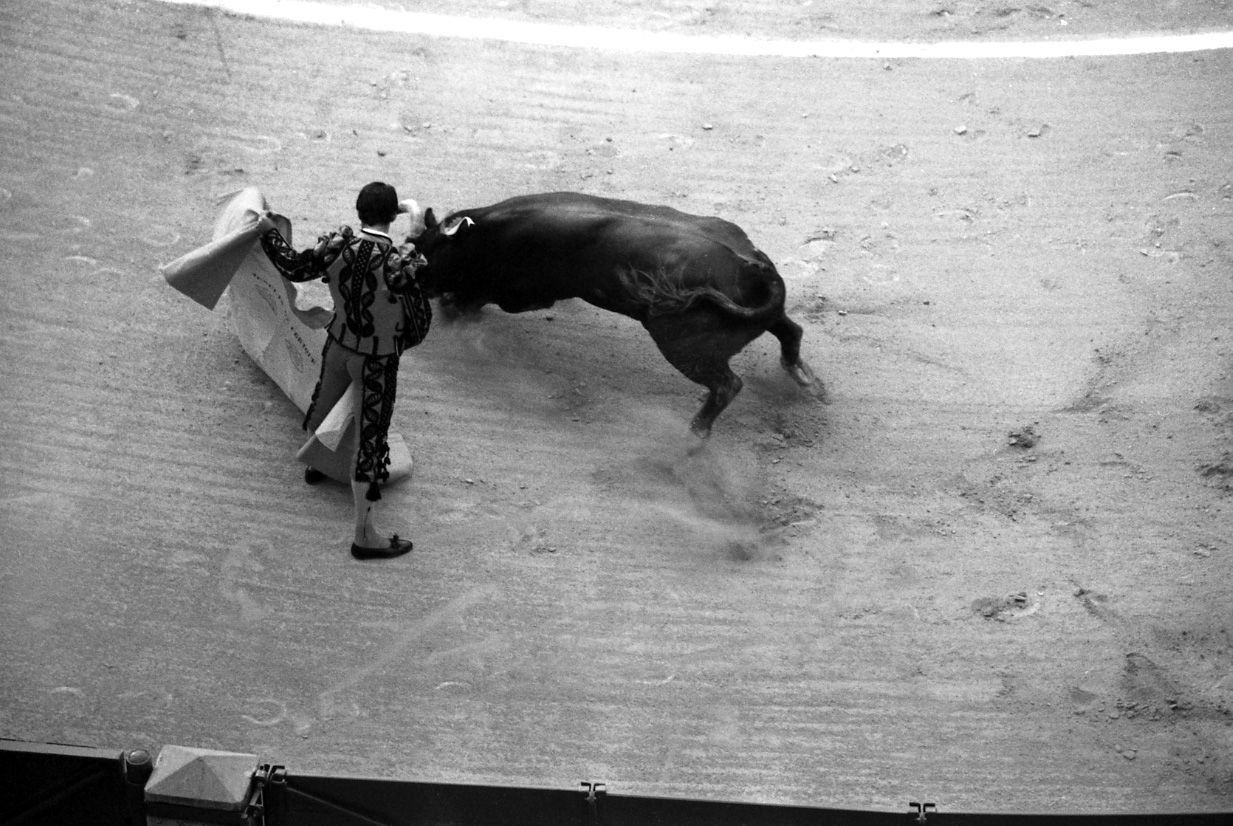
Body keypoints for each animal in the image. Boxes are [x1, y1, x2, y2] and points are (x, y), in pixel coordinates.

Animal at [409, 192, 823, 436]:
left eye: (432, 253)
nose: (419, 284)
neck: (486, 235)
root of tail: (749, 264)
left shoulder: (515, 292)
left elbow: (470, 299)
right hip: (760, 318)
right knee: (791, 332)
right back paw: (806, 380)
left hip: (684, 347)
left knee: (727, 385)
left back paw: (695, 431)